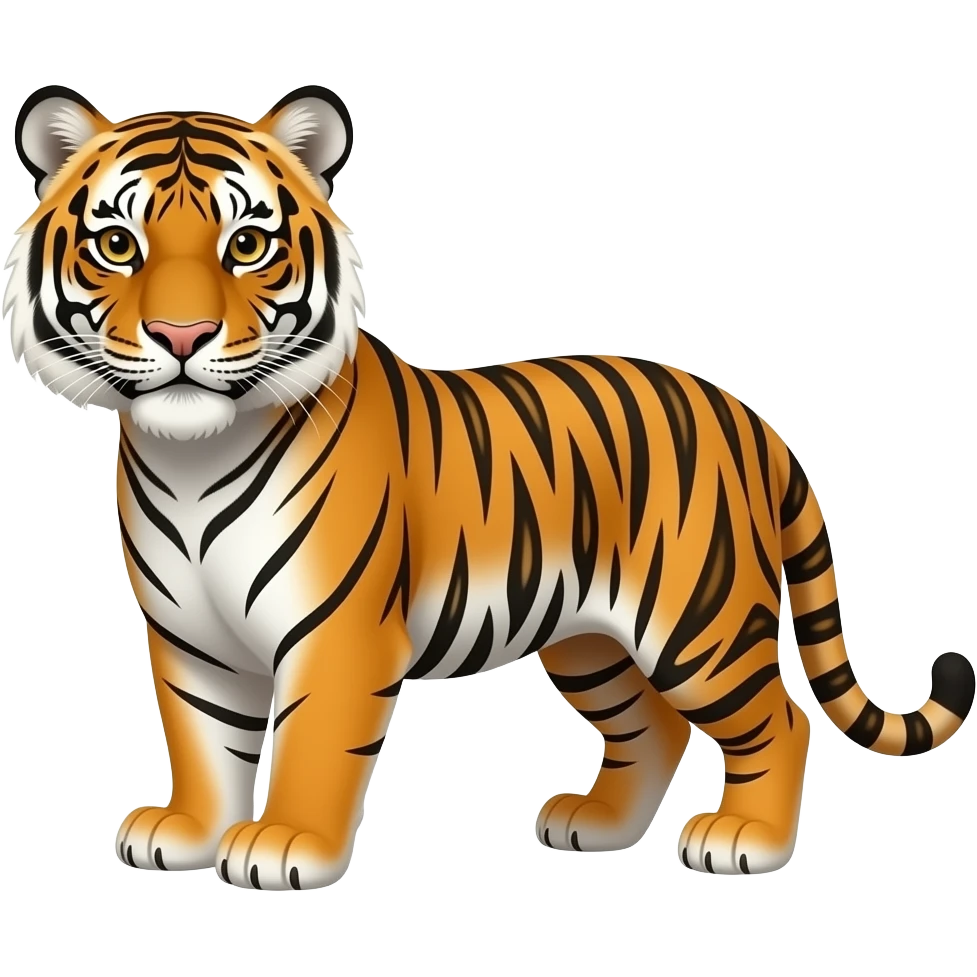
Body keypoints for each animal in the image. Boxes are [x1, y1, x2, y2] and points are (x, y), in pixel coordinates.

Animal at [3, 82, 974, 892]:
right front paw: (189, 831)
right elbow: (203, 738)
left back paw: (744, 841)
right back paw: (597, 825)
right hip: (590, 640)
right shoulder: (189, 635)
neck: (190, 460)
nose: (180, 334)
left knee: (779, 720)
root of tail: (749, 416)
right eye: (118, 245)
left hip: (698, 622)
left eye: (246, 244)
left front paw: (285, 846)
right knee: (651, 727)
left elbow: (312, 741)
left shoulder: (337, 634)